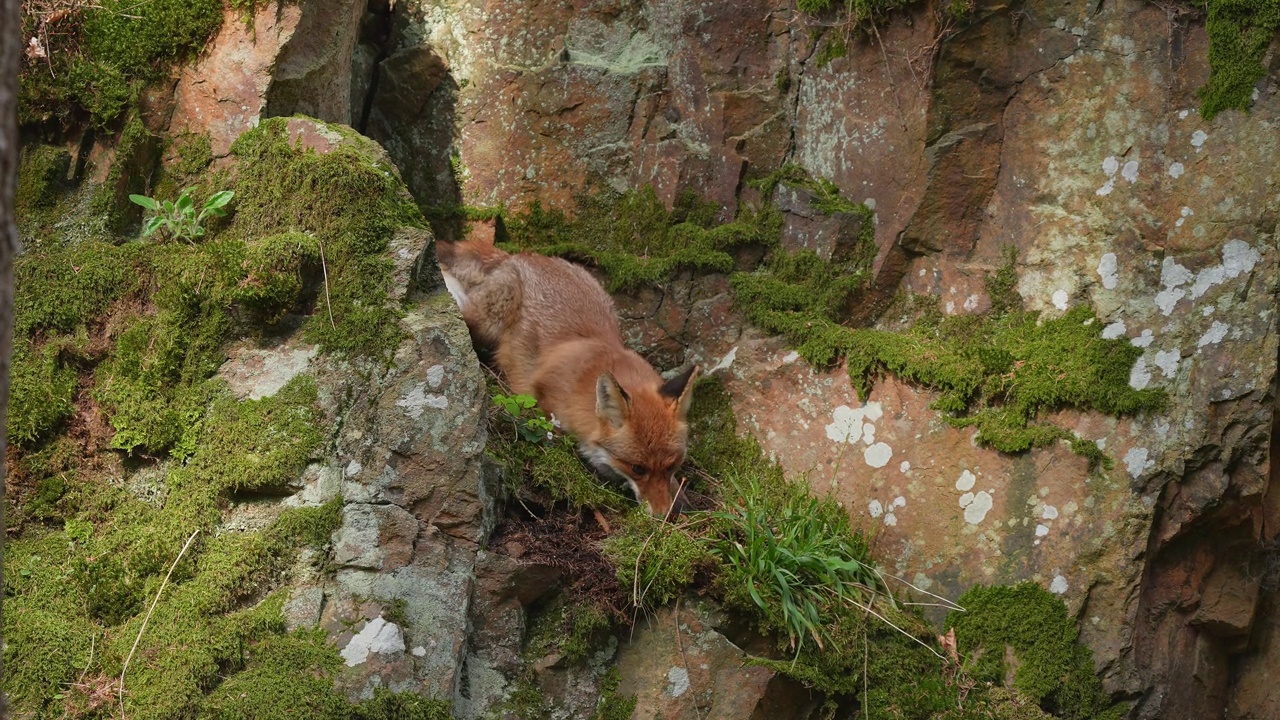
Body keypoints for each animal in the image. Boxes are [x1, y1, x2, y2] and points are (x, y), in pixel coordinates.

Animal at [440, 229, 701, 515]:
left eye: (672, 466)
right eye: (637, 468)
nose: (663, 515)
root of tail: (522, 255)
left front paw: (680, 495)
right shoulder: (543, 402)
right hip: (487, 321)